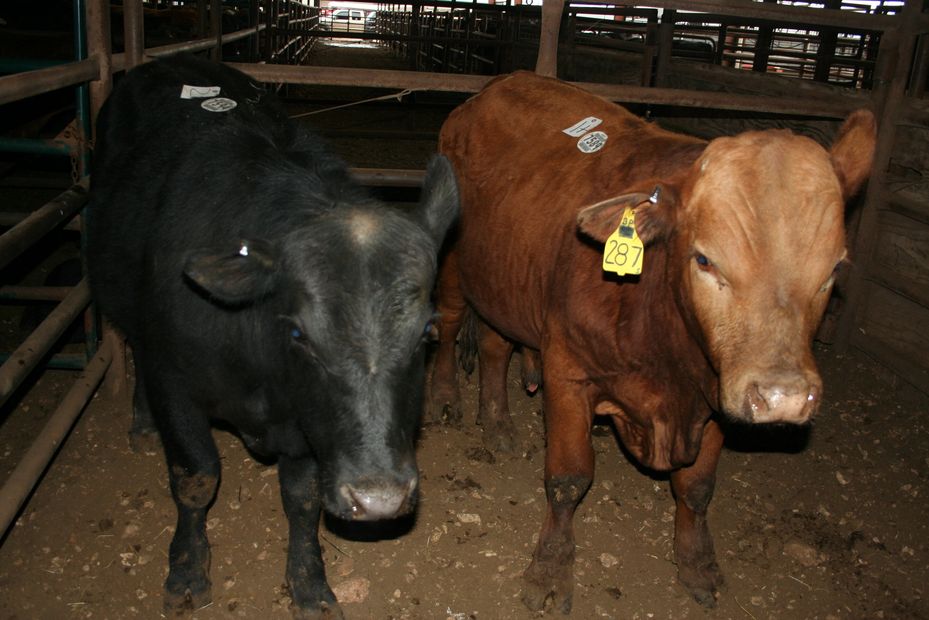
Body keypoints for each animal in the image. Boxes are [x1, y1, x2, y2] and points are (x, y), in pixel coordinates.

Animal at [86, 54, 458, 619]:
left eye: (426, 334)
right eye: (300, 332)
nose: (379, 499)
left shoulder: (307, 423)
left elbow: (302, 501)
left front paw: (308, 583)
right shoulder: (174, 384)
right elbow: (196, 478)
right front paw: (187, 570)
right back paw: (142, 423)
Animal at [428, 71, 875, 612]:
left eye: (834, 268)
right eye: (704, 259)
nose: (783, 397)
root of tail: (494, 88)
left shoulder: (715, 393)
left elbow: (697, 488)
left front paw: (697, 564)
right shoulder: (568, 373)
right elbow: (568, 479)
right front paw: (550, 570)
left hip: (505, 280)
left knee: (496, 347)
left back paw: (496, 424)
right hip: (455, 265)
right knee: (451, 324)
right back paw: (445, 397)